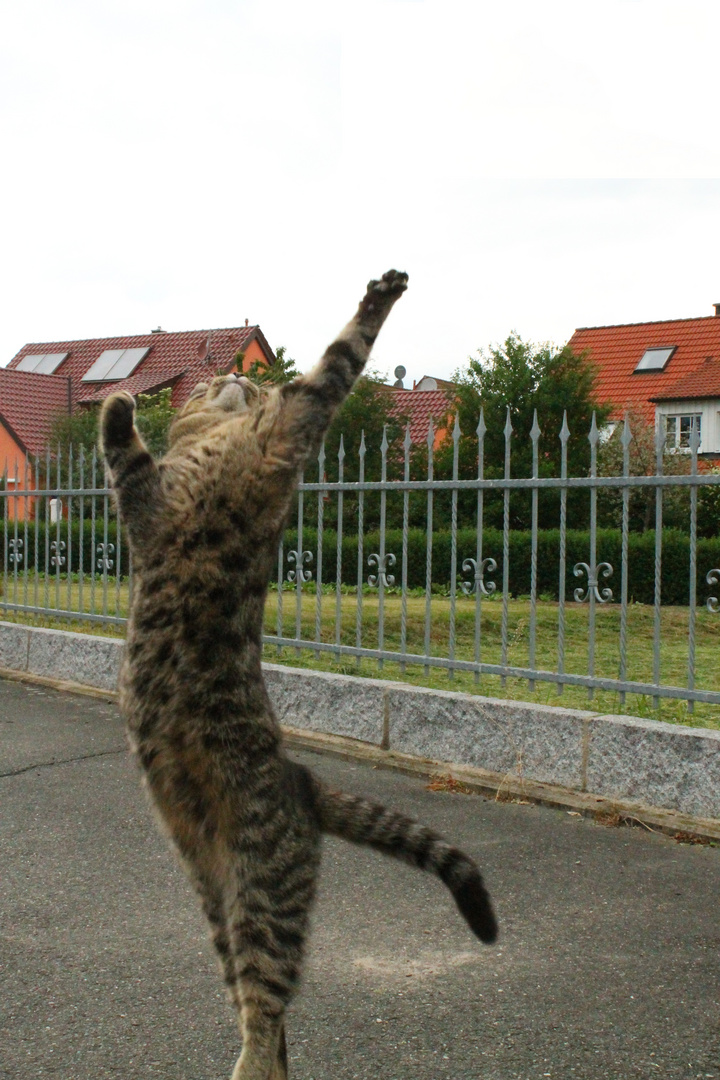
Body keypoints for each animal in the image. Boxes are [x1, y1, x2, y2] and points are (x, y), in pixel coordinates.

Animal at [99, 270, 496, 1080]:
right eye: (215, 378)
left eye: (246, 379)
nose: (236, 375)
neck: (214, 437)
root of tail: (303, 782)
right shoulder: (153, 506)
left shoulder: (283, 428)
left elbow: (342, 356)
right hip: (218, 902)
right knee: (269, 1021)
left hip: (261, 899)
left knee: (266, 1011)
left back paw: (243, 1067)